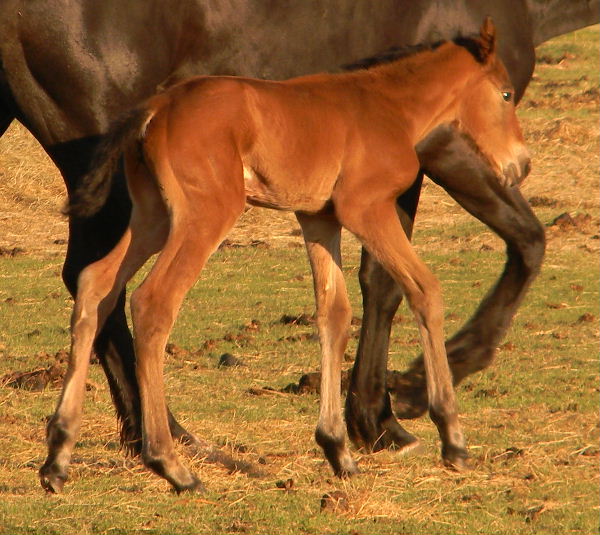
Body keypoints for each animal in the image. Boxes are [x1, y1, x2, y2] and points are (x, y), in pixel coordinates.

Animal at [1, 0, 598, 471]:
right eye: (505, 93)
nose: (519, 164)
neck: (385, 105)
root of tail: (156, 108)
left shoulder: (321, 218)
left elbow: (334, 311)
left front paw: (340, 444)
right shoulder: (370, 207)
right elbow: (422, 288)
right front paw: (441, 428)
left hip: (150, 217)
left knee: (95, 284)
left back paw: (60, 454)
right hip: (201, 216)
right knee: (151, 301)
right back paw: (169, 458)